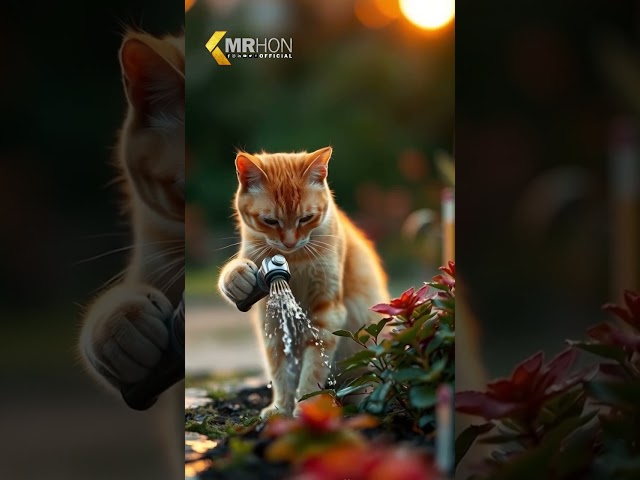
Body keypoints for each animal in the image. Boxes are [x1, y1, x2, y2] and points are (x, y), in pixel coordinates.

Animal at [220, 148, 390, 418]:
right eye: (270, 221)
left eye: (306, 218)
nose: (289, 242)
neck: (294, 259)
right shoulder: (273, 320)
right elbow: (279, 369)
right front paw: (281, 408)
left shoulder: (326, 313)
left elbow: (314, 368)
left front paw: (307, 407)